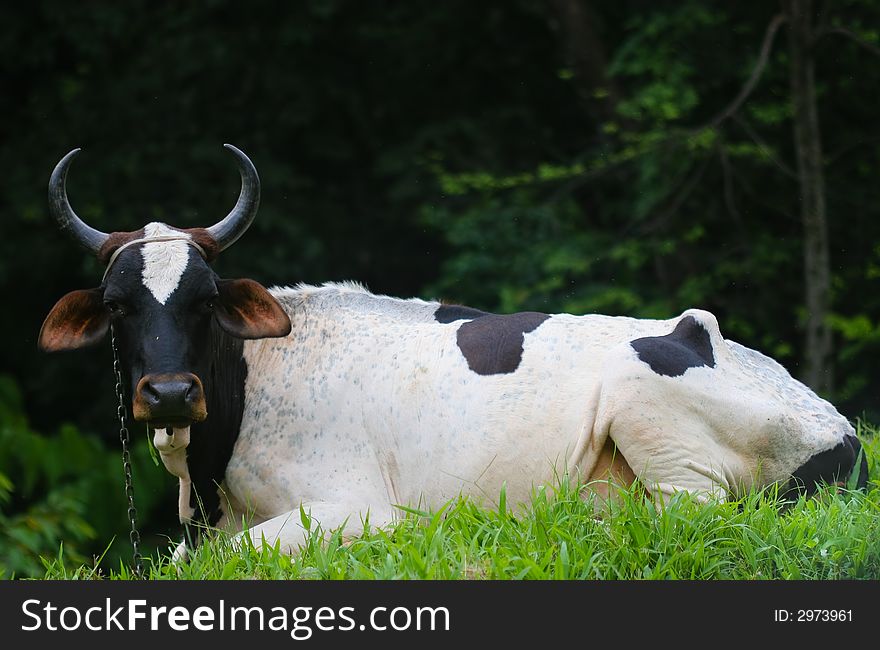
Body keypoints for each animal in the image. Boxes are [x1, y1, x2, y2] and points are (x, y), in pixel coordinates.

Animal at [39, 147, 868, 556]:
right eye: (117, 306)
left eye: (205, 300)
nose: (170, 393)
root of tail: (840, 426)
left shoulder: (357, 507)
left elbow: (215, 561)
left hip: (649, 398)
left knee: (688, 517)